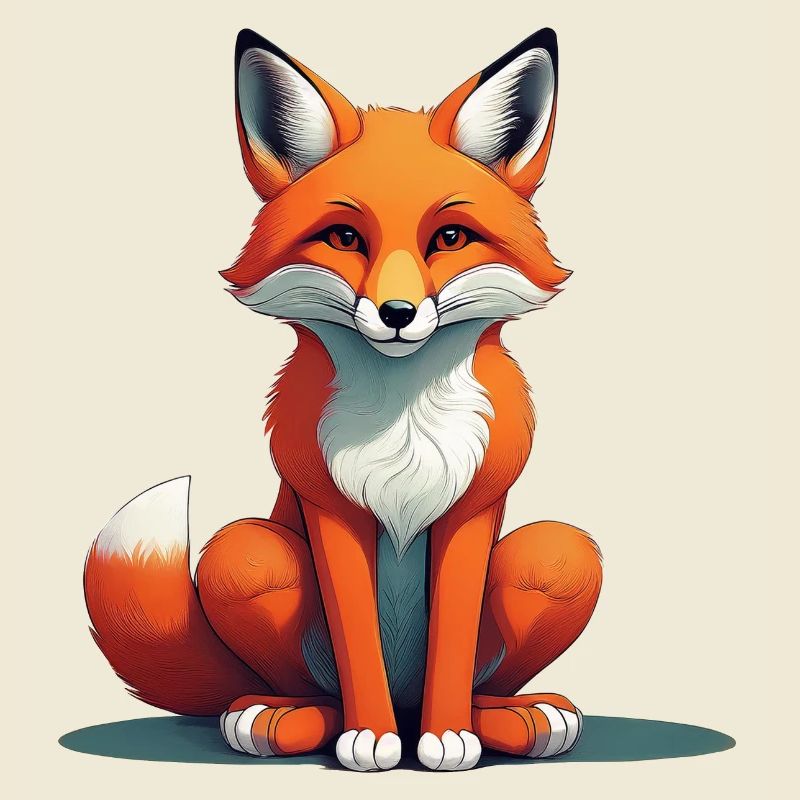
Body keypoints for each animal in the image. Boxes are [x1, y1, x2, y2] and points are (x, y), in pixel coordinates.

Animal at [84, 27, 602, 771]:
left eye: (449, 238)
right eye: (345, 238)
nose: (397, 313)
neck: (404, 419)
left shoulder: (471, 509)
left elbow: (451, 641)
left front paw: (450, 736)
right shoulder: (330, 508)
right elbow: (356, 637)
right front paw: (372, 739)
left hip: (559, 557)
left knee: (493, 669)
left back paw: (510, 717)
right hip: (247, 557)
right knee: (301, 687)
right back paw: (285, 716)